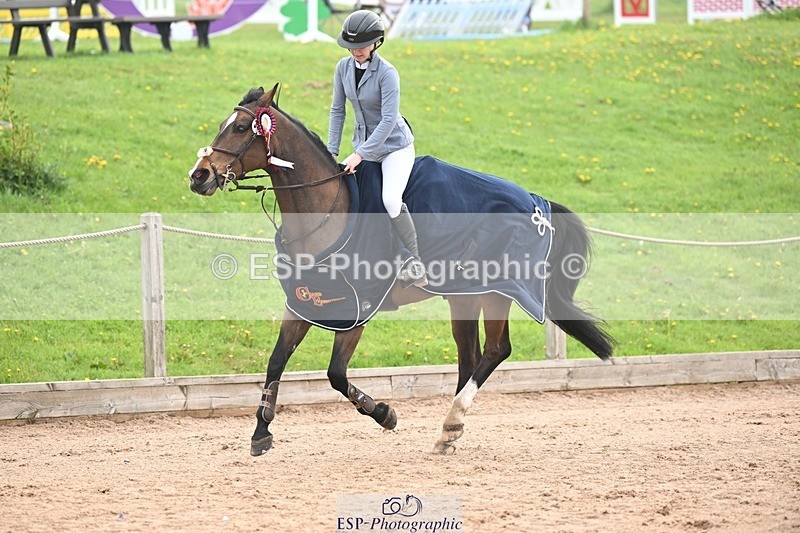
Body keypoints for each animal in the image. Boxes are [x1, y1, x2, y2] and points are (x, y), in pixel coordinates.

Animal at [188, 83, 615, 456]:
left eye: (240, 128)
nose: (199, 175)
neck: (326, 210)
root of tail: (535, 200)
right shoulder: (303, 302)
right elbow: (276, 361)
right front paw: (261, 432)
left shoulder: (357, 309)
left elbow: (336, 374)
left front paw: (383, 413)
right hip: (464, 295)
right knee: (470, 355)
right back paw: (448, 434)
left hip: (498, 291)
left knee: (496, 350)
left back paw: (452, 421)